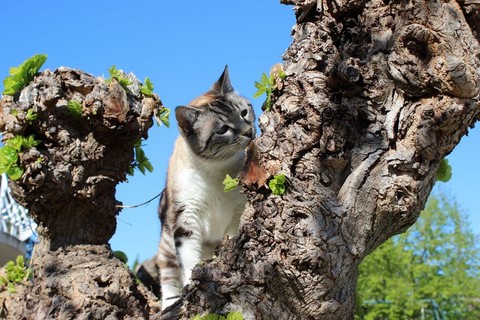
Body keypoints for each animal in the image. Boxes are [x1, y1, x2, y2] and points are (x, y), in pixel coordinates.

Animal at [157, 67, 255, 310]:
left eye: (243, 112)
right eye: (223, 129)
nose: (249, 132)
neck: (217, 170)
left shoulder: (237, 211)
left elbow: (232, 237)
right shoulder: (186, 217)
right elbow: (190, 261)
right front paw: (191, 287)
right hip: (166, 246)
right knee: (169, 279)